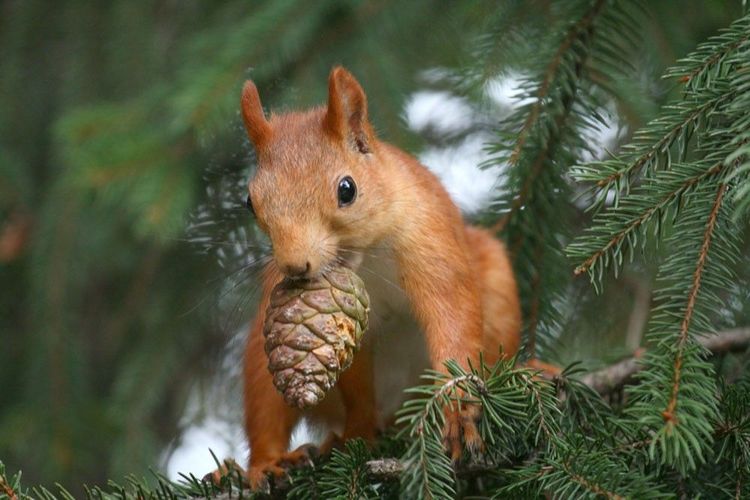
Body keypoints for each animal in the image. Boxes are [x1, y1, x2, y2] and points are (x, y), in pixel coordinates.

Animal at [235, 66, 522, 490]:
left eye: (347, 189)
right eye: (250, 202)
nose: (295, 266)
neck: (367, 257)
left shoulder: (433, 246)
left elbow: (453, 323)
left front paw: (458, 412)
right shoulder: (349, 326)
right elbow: (355, 383)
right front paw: (358, 434)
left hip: (498, 286)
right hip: (262, 346)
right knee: (267, 408)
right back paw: (266, 464)